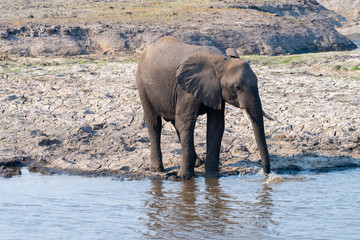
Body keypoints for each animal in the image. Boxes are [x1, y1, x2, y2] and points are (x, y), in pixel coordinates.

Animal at [136, 36, 272, 178]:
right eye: (237, 87)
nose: (266, 174)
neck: (221, 61)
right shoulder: (186, 89)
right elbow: (186, 122)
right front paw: (184, 177)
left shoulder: (215, 90)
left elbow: (216, 125)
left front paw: (212, 176)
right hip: (143, 85)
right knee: (155, 124)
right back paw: (157, 169)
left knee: (175, 123)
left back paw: (197, 163)